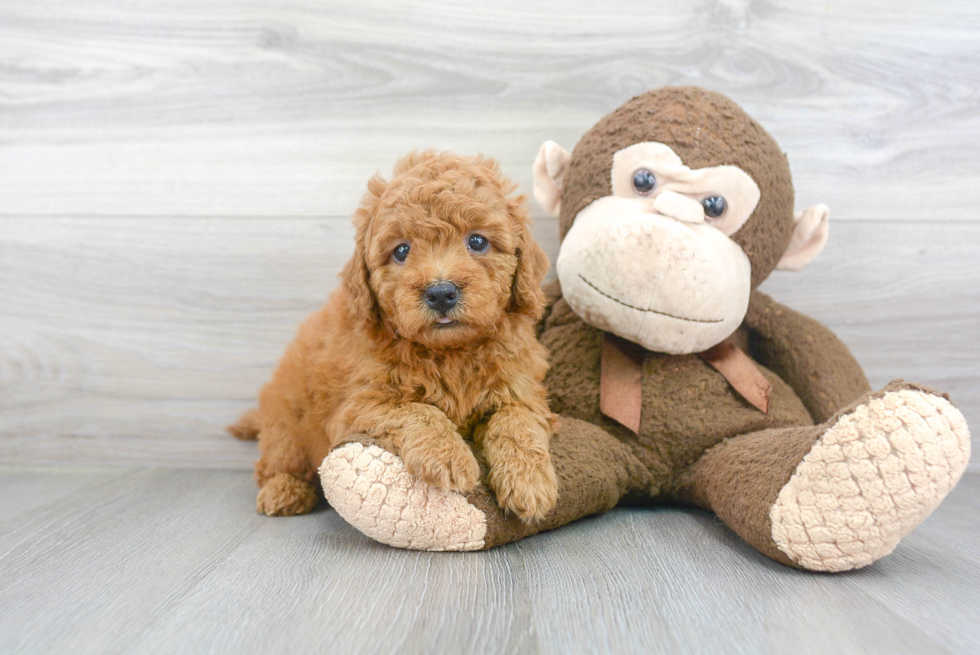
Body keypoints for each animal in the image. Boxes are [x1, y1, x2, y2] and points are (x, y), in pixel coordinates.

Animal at [224, 151, 560, 520]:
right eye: (401, 251)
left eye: (477, 241)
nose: (441, 293)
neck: (450, 352)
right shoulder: (359, 406)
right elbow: (418, 411)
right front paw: (449, 457)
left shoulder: (522, 389)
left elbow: (517, 420)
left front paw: (530, 482)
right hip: (287, 427)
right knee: (277, 462)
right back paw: (283, 491)